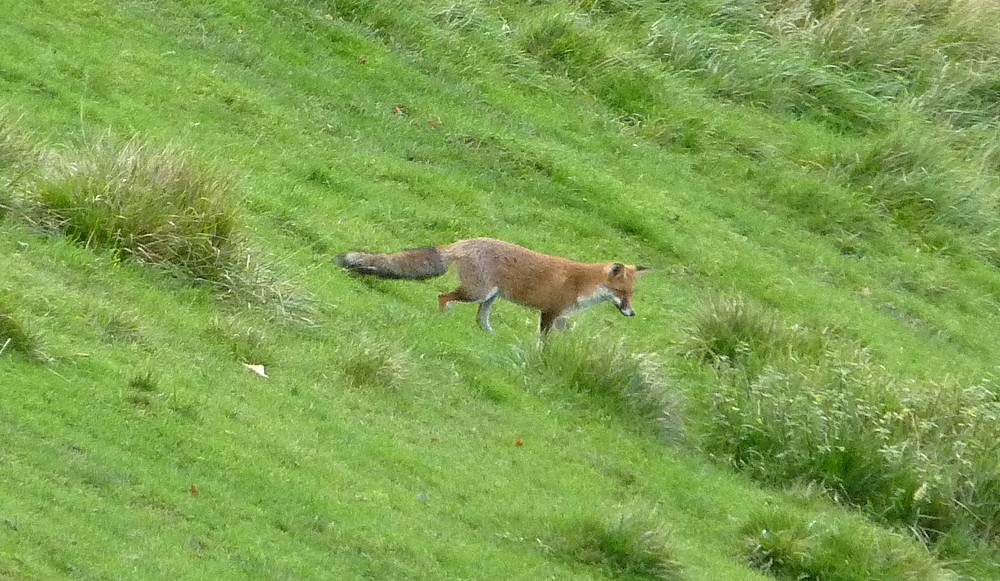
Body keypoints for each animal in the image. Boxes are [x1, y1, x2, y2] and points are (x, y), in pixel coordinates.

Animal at [336, 236, 648, 334]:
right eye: (622, 293)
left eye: (631, 294)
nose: (632, 313)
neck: (583, 283)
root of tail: (465, 241)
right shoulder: (550, 311)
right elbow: (543, 341)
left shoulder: (561, 317)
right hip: (477, 293)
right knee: (442, 297)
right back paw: (444, 318)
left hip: (489, 298)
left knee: (480, 319)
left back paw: (489, 336)